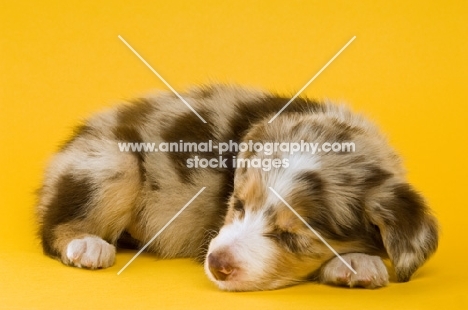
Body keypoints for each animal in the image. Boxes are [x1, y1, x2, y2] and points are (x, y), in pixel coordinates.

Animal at [36, 84, 438, 290]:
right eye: (239, 204)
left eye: (293, 236)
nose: (216, 264)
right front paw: (356, 263)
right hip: (113, 162)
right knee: (54, 228)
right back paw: (87, 245)